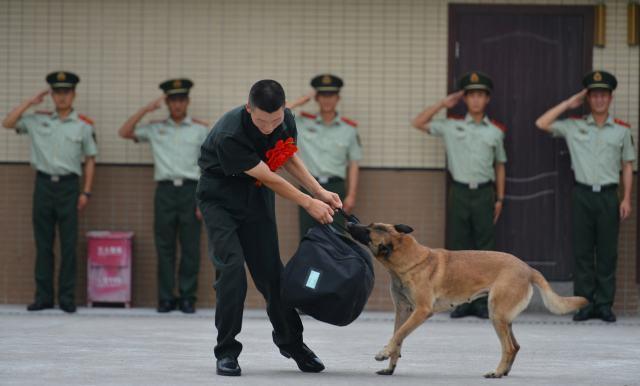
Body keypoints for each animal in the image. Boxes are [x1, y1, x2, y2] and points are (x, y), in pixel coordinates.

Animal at [348, 222, 588, 378]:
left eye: (368, 231)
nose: (350, 221)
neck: (407, 257)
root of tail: (528, 268)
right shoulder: (403, 310)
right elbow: (398, 336)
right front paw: (390, 365)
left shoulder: (421, 311)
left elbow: (399, 334)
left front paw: (383, 353)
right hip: (503, 317)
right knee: (516, 346)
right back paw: (505, 371)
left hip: (497, 314)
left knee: (509, 347)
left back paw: (497, 372)